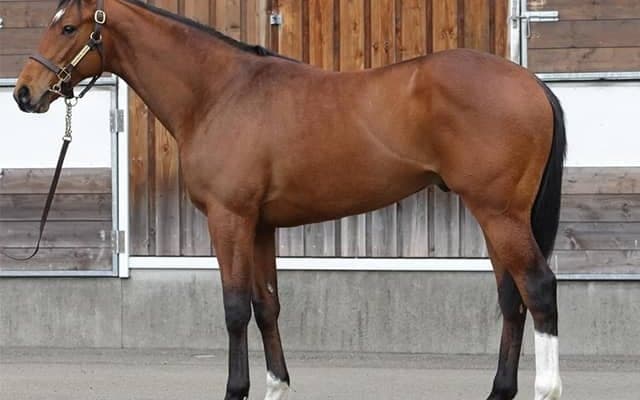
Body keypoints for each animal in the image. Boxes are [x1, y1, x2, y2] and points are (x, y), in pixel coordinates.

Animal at [14, 1, 565, 399]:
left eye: (68, 29)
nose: (24, 93)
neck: (219, 93)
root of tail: (531, 83)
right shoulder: (260, 226)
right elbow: (267, 307)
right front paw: (276, 388)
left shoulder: (229, 219)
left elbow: (235, 307)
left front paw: (235, 390)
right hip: (496, 217)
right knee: (512, 299)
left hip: (500, 214)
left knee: (538, 289)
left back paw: (546, 389)